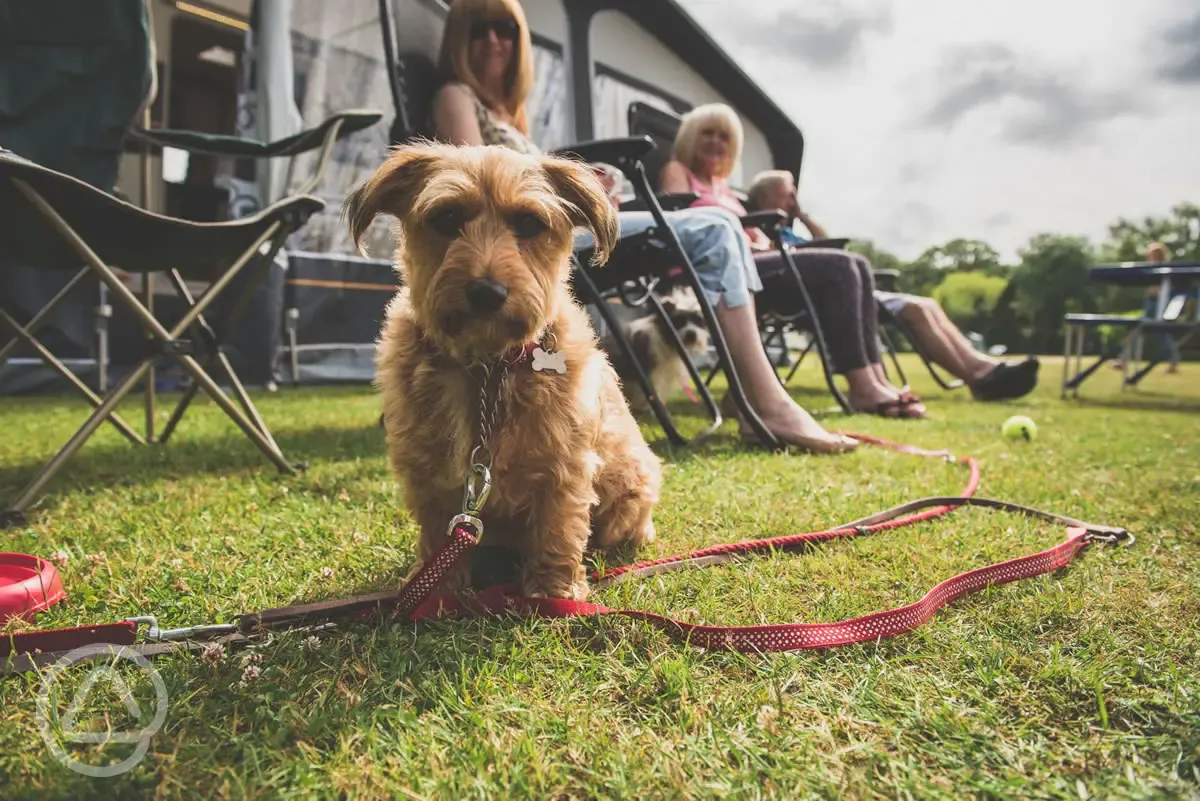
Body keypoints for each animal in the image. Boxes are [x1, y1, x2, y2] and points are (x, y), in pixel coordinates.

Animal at [348, 140, 662, 597]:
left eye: (529, 222)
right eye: (446, 217)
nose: (486, 292)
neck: (486, 366)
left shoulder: (563, 466)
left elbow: (557, 528)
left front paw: (554, 592)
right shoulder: (428, 471)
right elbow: (436, 529)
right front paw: (435, 586)